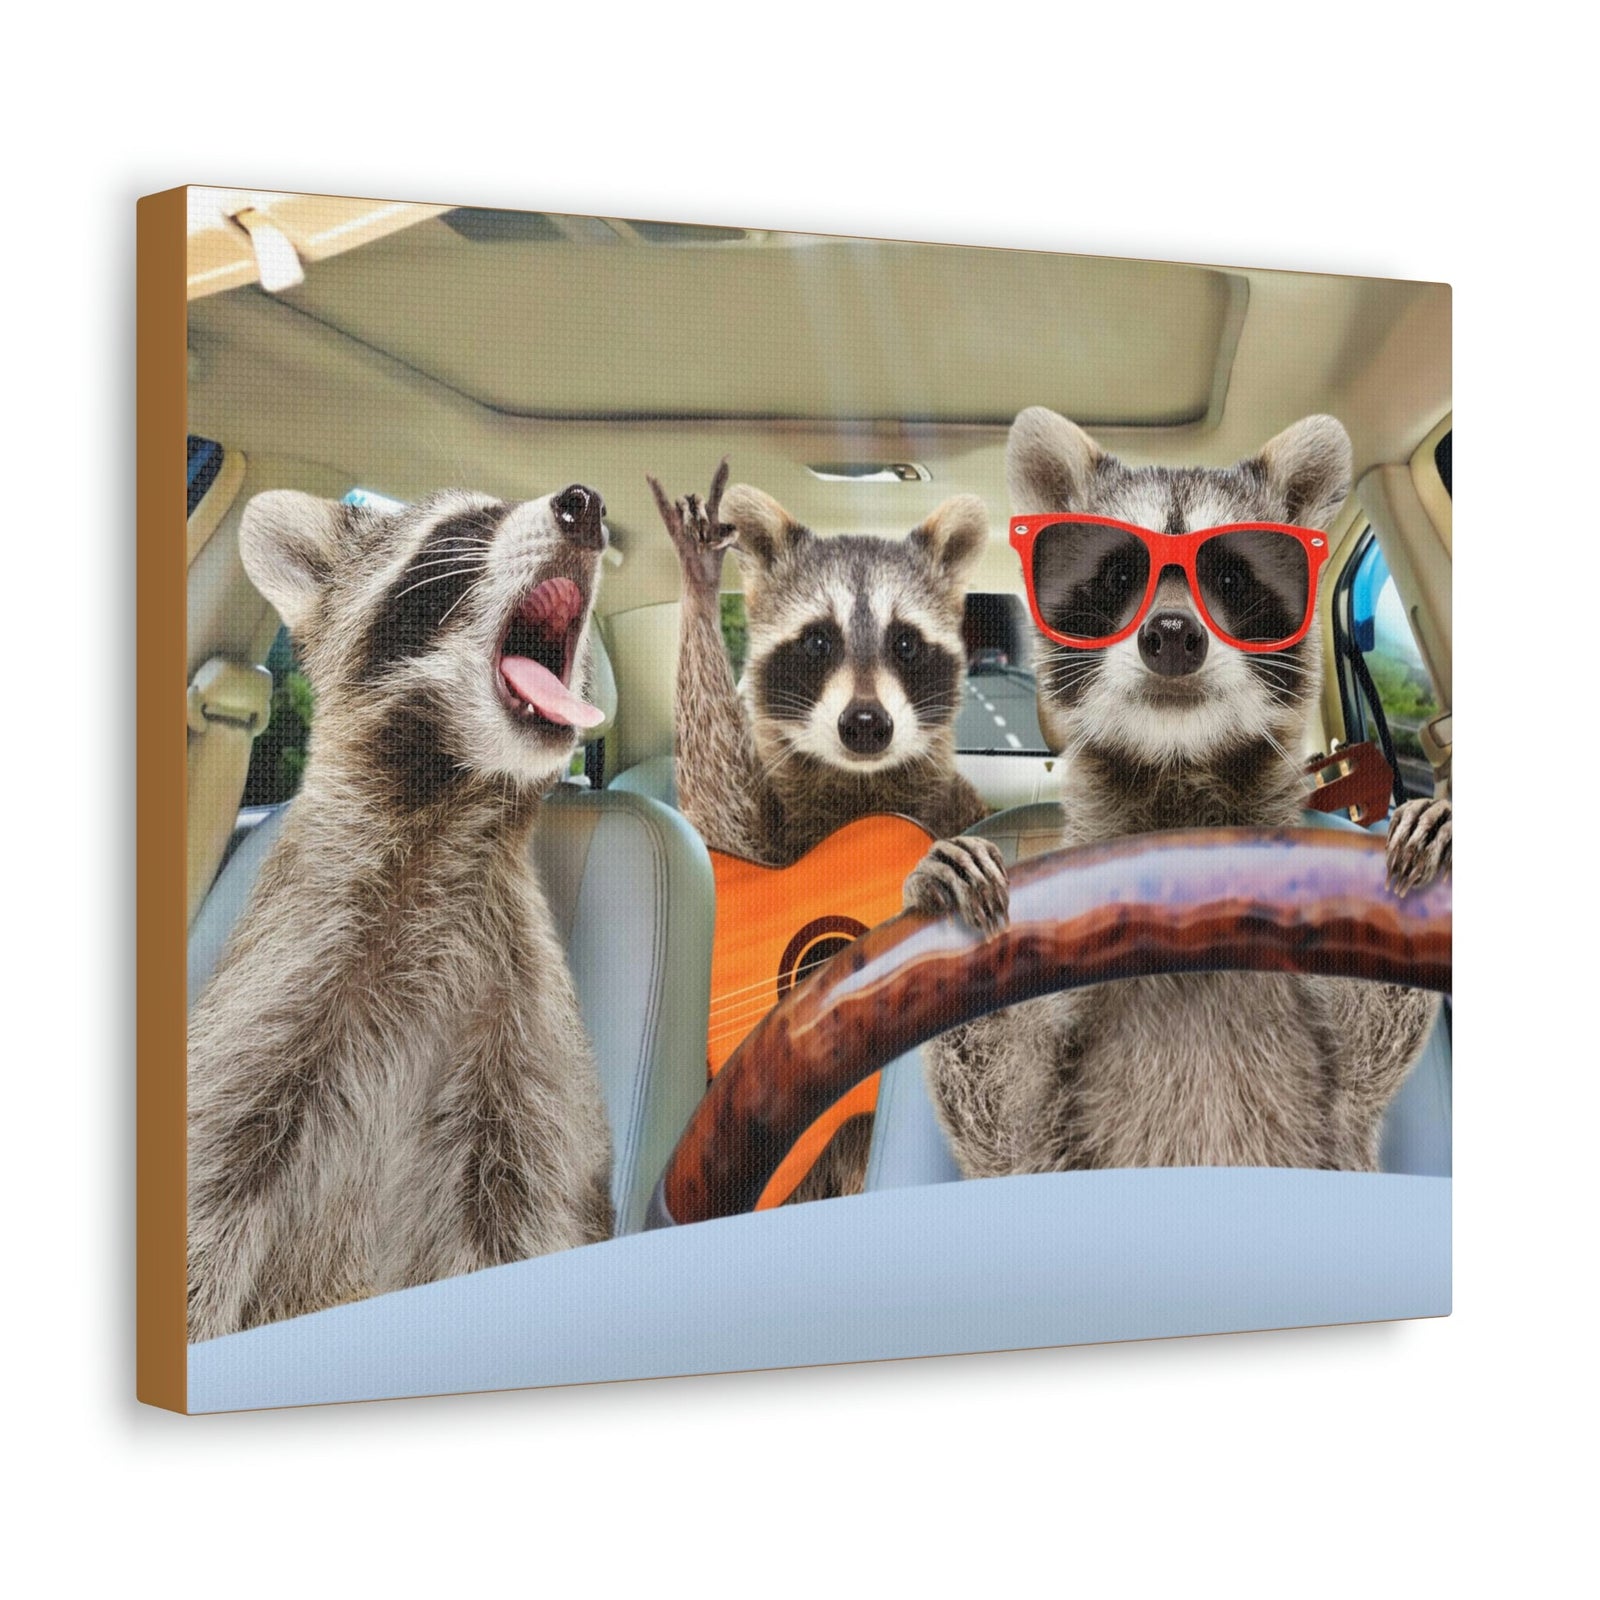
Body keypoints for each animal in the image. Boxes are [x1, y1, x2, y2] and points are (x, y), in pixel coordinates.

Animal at [187, 484, 615, 1341]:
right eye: (465, 526)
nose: (585, 504)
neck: (452, 797)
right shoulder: (281, 979)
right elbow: (205, 1192)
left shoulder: (525, 1053)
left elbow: (528, 1213)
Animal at [650, 461, 993, 1199]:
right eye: (817, 640)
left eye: (904, 642)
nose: (865, 724)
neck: (861, 781)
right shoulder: (756, 818)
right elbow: (720, 813)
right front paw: (699, 583)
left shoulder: (961, 808)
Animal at [906, 409, 1452, 1176]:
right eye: (1118, 573)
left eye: (1230, 571)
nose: (1170, 635)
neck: (1179, 771)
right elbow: (1005, 1121)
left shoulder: (1337, 1097)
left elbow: (1366, 1051)